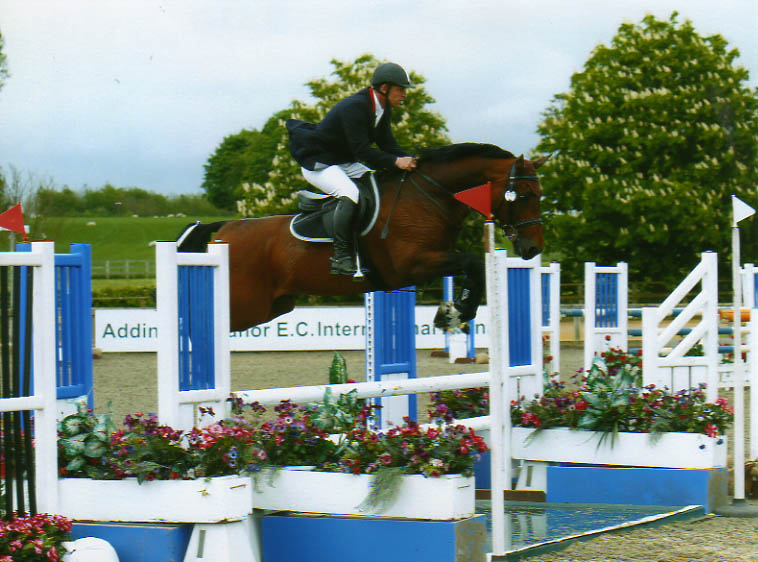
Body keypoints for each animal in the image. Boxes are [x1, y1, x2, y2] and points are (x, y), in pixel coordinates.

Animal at [175, 142, 548, 330]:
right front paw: (455, 313)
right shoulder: (413, 265)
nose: (532, 248)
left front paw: (453, 311)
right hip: (243, 306)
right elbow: (473, 263)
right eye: (523, 195)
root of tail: (223, 229)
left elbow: (475, 268)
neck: (428, 195)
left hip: (270, 306)